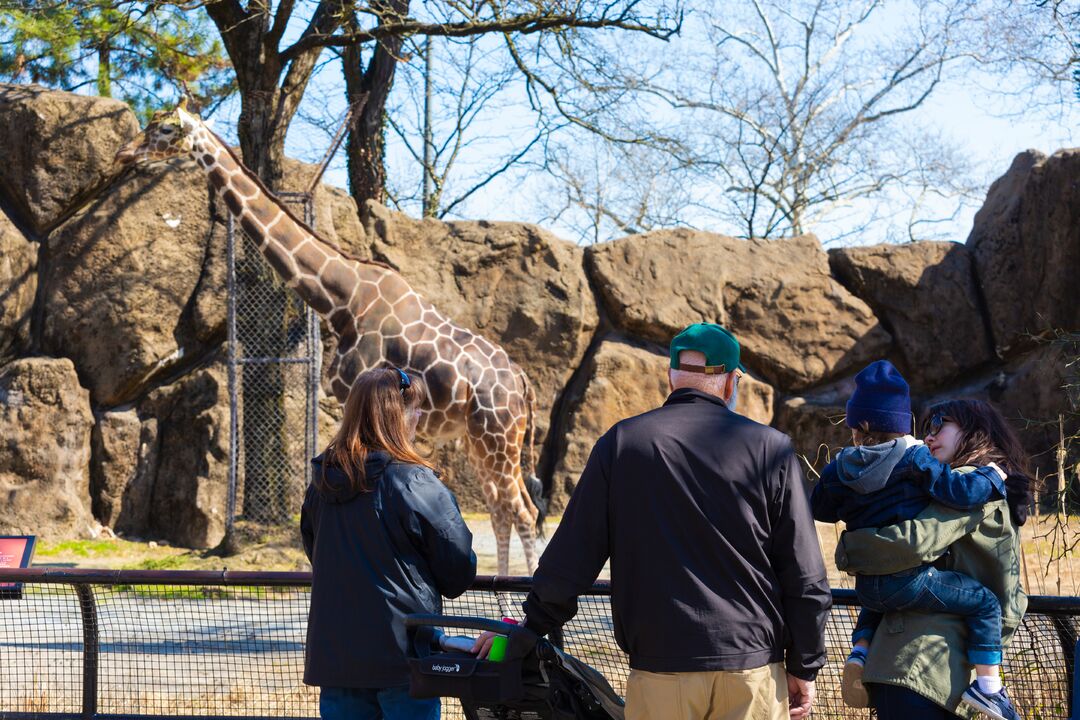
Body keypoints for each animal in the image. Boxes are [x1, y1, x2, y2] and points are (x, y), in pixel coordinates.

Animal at [116, 102, 548, 574]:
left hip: (497, 436)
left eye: (163, 128)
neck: (340, 298)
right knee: (503, 508)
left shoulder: (350, 394)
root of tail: (522, 382)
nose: (124, 154)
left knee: (522, 511)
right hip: (480, 439)